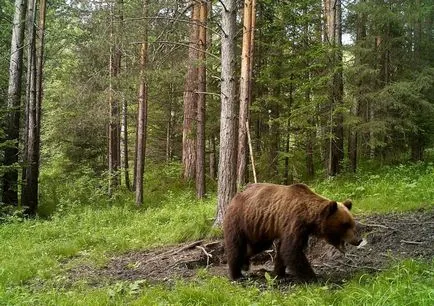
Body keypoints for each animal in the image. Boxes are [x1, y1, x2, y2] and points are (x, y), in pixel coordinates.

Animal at [222, 182, 362, 282]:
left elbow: (283, 250)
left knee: (256, 246)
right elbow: (291, 250)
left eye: (352, 223)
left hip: (258, 227)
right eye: (345, 224)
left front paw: (279, 273)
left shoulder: (300, 230)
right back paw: (236, 274)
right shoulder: (294, 222)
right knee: (235, 245)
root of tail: (235, 196)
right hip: (239, 220)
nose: (358, 240)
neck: (309, 218)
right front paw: (313, 277)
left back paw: (244, 263)